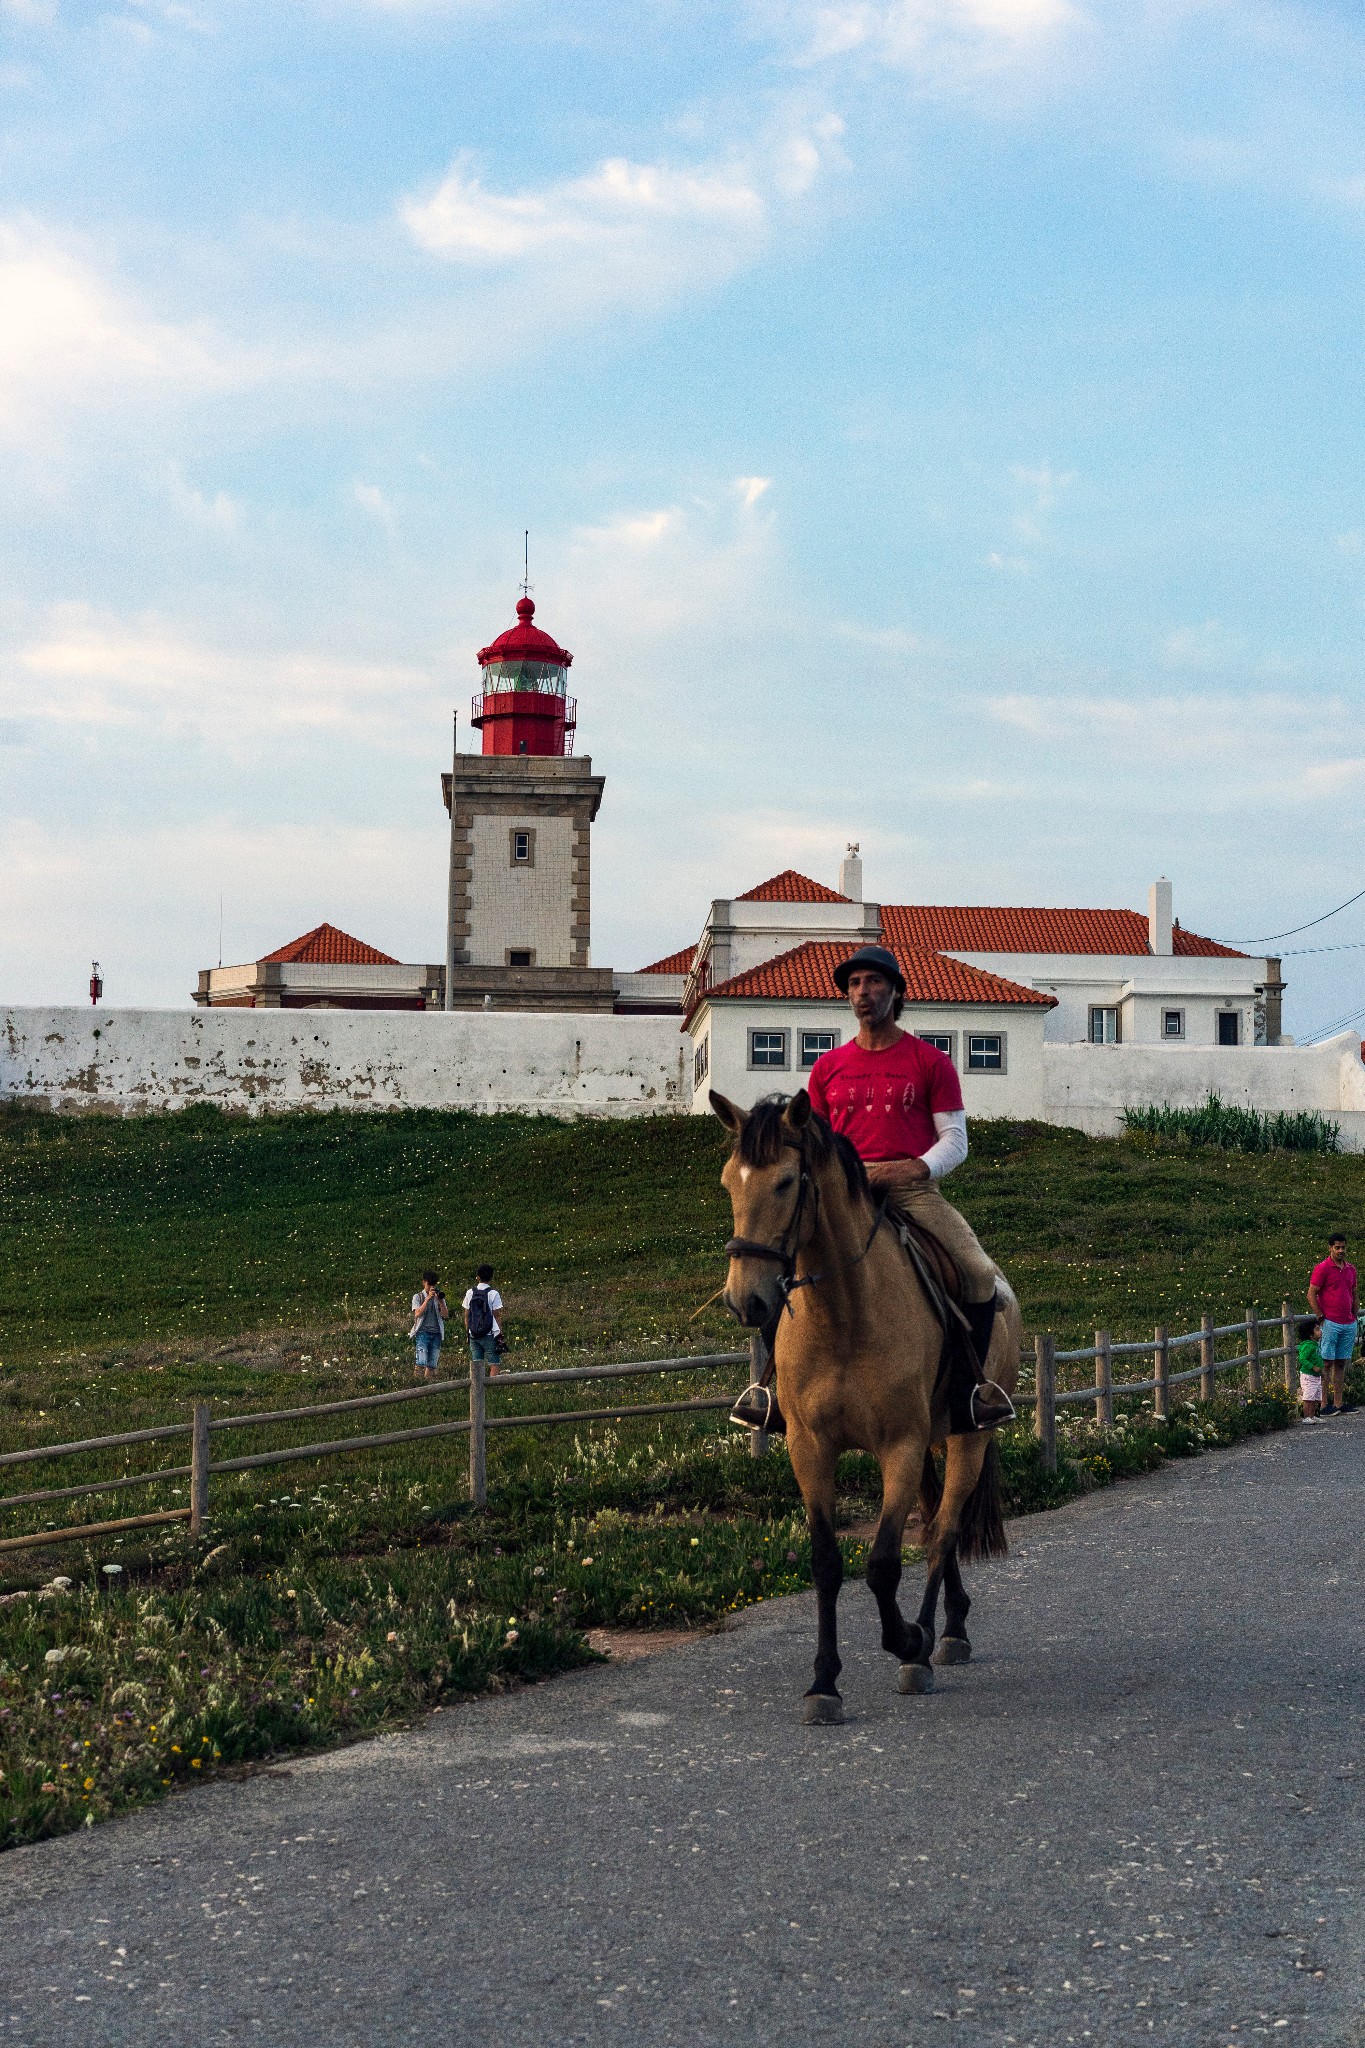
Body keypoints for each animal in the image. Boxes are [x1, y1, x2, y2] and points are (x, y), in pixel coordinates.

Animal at [712, 1097, 1019, 1720]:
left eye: (786, 1182)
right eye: (730, 1182)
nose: (744, 1301)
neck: (845, 1317)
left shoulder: (899, 1446)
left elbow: (881, 1564)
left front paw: (906, 1640)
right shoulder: (810, 1449)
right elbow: (827, 1563)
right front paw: (823, 1684)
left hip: (967, 1438)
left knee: (944, 1530)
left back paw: (931, 1643)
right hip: (933, 1441)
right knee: (935, 1522)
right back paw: (951, 1626)